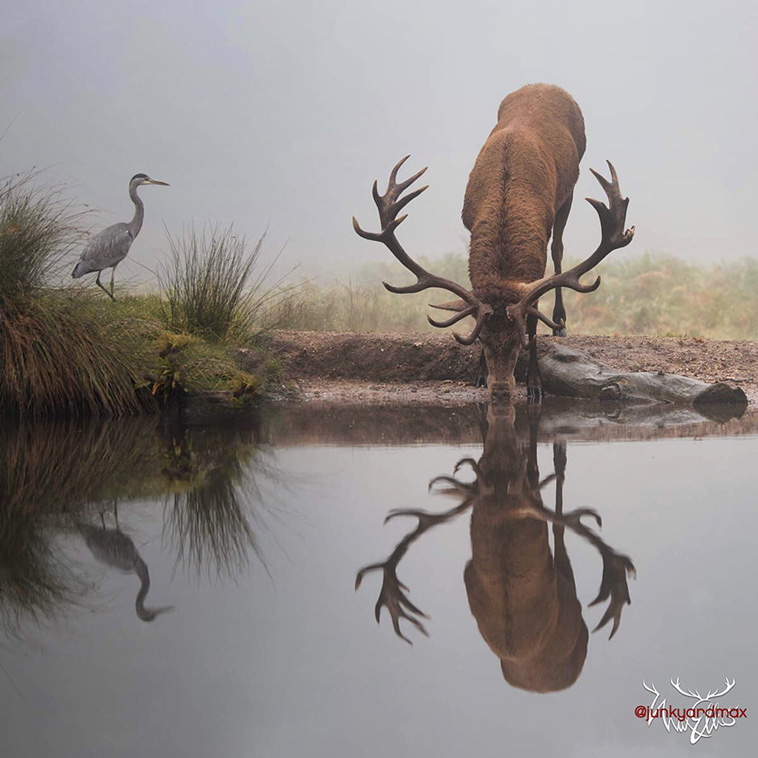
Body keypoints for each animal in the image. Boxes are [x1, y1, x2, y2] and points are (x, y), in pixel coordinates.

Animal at [353, 84, 635, 401]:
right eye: (483, 341)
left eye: (518, 342)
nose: (499, 389)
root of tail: (544, 84)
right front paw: (478, 373)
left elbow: (535, 316)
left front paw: (535, 384)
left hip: (568, 195)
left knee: (559, 248)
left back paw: (560, 322)